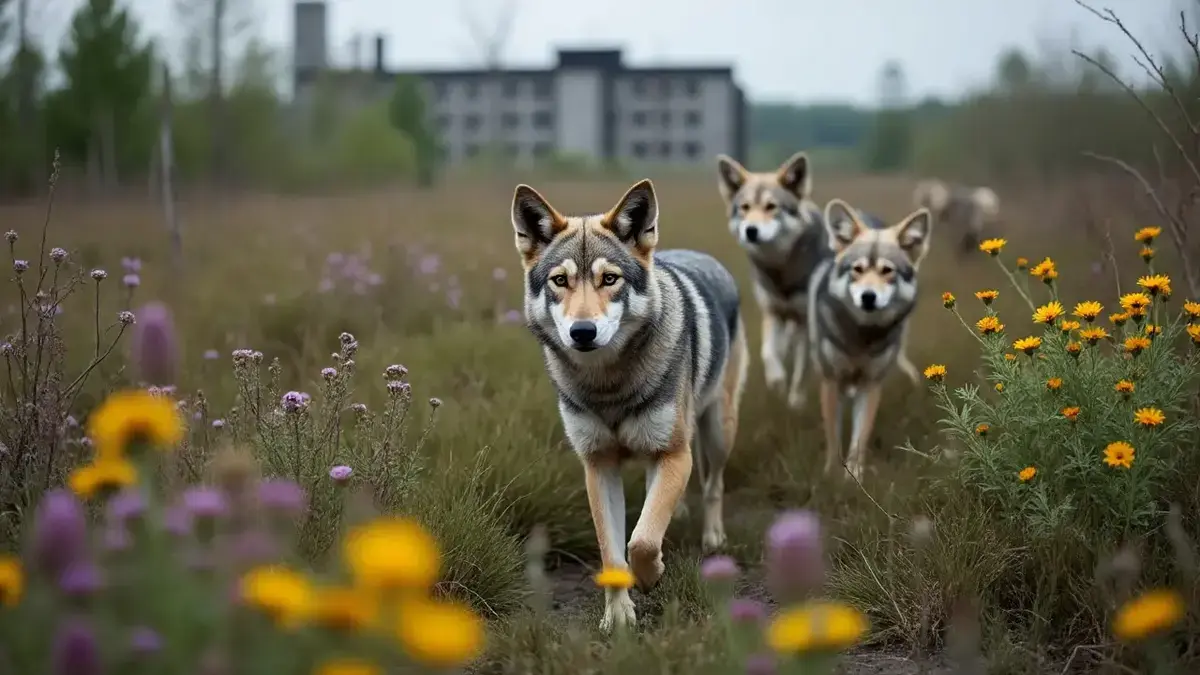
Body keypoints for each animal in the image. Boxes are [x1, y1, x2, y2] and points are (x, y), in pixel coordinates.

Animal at [508, 177, 748, 629]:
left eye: (610, 279)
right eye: (560, 281)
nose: (582, 332)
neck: (609, 386)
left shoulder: (672, 454)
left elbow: (642, 541)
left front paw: (651, 576)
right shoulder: (599, 465)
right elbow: (613, 551)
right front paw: (618, 617)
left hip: (718, 431)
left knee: (713, 484)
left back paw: (713, 537)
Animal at [720, 152, 916, 408]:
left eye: (771, 206)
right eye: (744, 207)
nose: (750, 231)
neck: (782, 268)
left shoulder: (806, 321)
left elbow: (802, 366)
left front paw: (795, 400)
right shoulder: (773, 312)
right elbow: (768, 352)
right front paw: (777, 380)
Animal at [806, 196, 936, 480]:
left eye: (887, 271)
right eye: (858, 269)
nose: (868, 297)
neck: (862, 338)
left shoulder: (871, 384)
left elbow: (860, 437)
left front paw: (854, 476)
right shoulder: (831, 381)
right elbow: (833, 436)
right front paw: (832, 475)